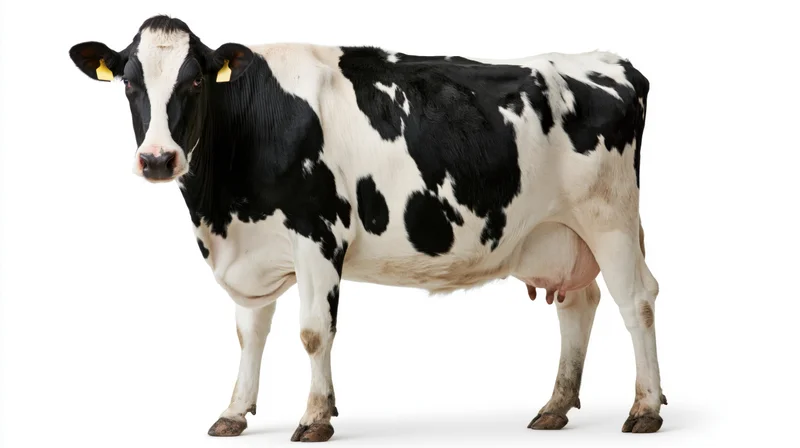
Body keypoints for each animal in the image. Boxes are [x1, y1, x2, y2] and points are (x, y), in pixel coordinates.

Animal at [68, 14, 666, 442]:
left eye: (194, 82)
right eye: (129, 84)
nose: (157, 159)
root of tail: (611, 62)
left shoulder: (318, 232)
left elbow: (313, 331)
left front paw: (315, 418)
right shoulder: (253, 245)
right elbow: (249, 333)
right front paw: (235, 411)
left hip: (609, 218)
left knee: (636, 300)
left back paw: (645, 408)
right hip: (558, 232)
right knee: (579, 304)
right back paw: (555, 407)